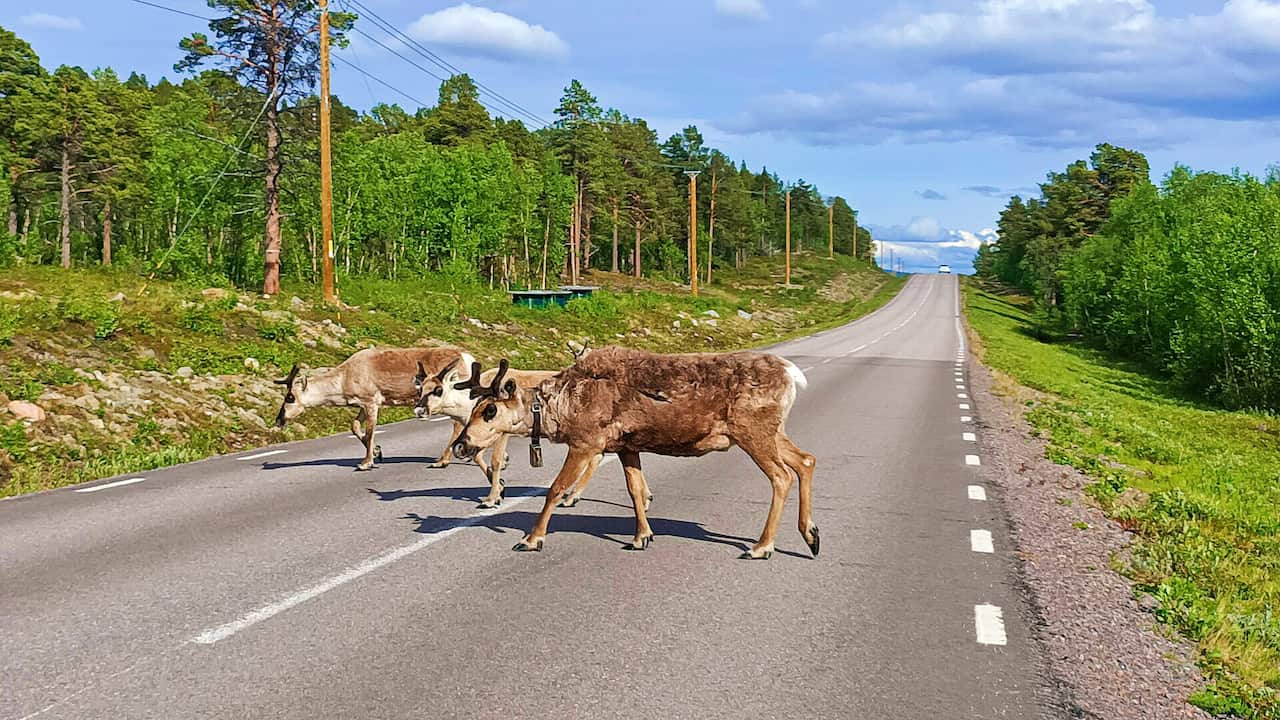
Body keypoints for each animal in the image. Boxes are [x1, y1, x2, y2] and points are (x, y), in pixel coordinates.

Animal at [274, 346, 473, 471]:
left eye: (290, 397)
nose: (279, 420)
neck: (344, 379)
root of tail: (468, 359)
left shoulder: (371, 401)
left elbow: (370, 431)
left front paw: (366, 462)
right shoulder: (362, 403)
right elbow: (354, 426)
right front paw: (378, 451)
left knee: (457, 424)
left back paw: (442, 461)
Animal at [450, 346, 817, 560]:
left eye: (489, 410)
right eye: (474, 408)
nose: (460, 445)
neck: (560, 408)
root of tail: (792, 374)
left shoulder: (586, 442)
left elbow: (555, 490)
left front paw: (531, 539)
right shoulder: (627, 446)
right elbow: (636, 491)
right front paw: (642, 536)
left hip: (753, 431)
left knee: (781, 475)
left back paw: (762, 546)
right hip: (771, 432)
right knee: (805, 460)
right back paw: (811, 536)